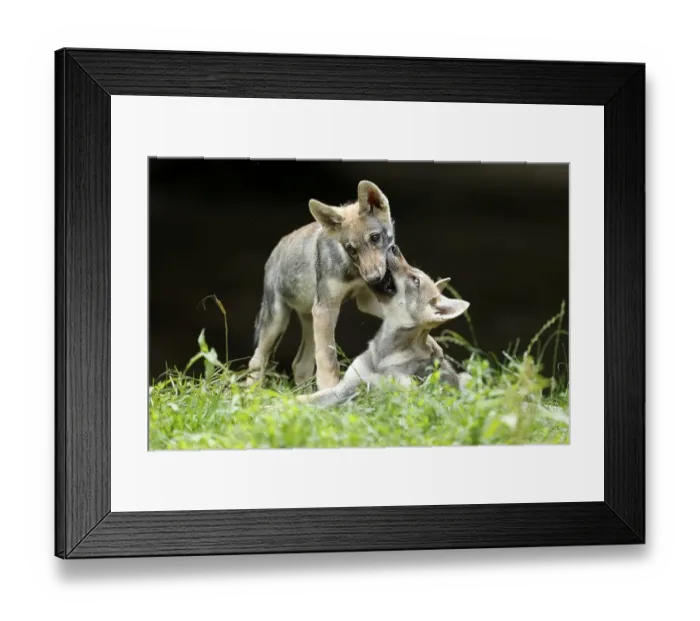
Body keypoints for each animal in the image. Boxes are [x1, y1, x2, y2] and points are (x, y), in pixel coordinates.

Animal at [247, 180, 399, 390]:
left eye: (375, 238)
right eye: (351, 249)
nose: (374, 279)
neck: (350, 268)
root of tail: (275, 250)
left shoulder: (365, 300)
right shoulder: (326, 309)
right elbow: (328, 360)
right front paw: (330, 389)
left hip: (310, 321)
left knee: (300, 364)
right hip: (277, 321)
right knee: (257, 360)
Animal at [297, 250, 470, 406]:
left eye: (416, 281)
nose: (394, 248)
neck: (382, 359)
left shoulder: (395, 392)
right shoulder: (346, 384)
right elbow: (312, 397)